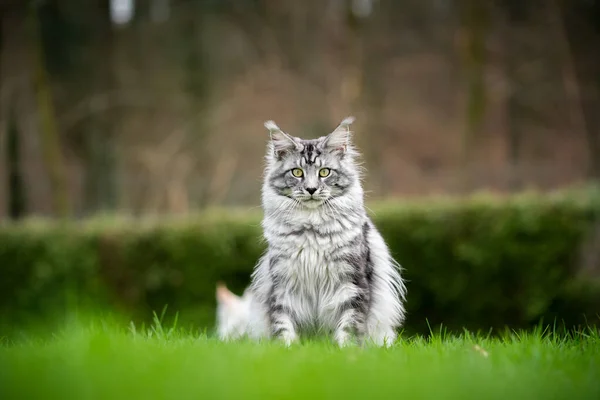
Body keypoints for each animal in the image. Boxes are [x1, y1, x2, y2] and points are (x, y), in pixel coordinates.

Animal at [213, 116, 406, 346]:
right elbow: (283, 323)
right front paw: (287, 347)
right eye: (297, 172)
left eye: (324, 172)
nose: (311, 189)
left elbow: (349, 325)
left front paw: (345, 349)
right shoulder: (283, 283)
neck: (312, 228)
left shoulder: (352, 282)